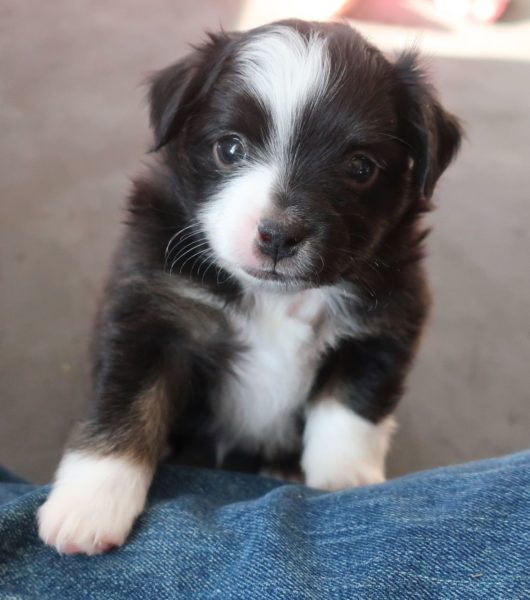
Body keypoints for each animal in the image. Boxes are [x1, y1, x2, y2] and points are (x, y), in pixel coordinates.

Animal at [37, 18, 458, 552]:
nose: (278, 235)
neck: (278, 300)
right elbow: (126, 401)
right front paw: (89, 504)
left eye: (361, 167)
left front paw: (343, 480)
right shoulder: (151, 311)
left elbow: (352, 405)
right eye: (229, 147)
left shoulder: (386, 321)